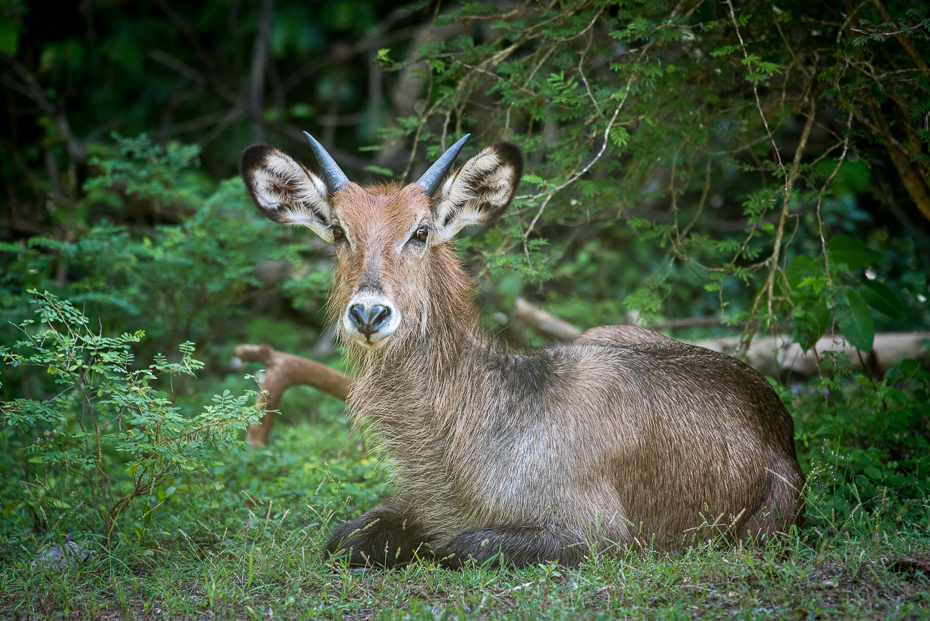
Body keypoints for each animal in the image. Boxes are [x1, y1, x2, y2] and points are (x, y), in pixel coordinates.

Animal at [239, 134, 804, 568]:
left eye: (420, 231)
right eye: (339, 231)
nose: (370, 314)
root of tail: (778, 418)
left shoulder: (595, 533)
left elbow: (459, 547)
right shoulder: (418, 504)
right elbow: (343, 539)